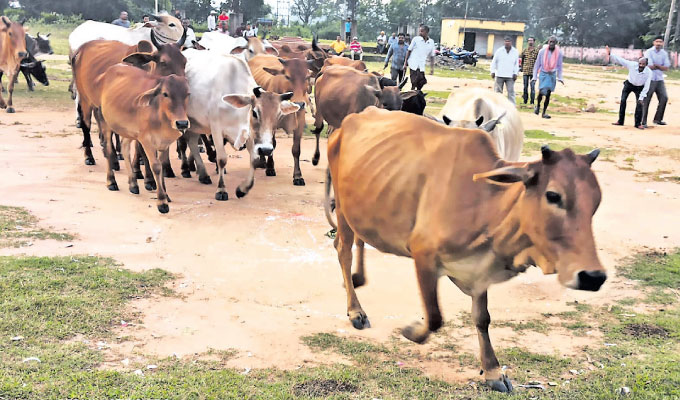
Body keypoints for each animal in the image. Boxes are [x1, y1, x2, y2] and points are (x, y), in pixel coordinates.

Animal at [96, 64, 190, 213]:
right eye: (165, 94)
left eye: (187, 94)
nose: (182, 123)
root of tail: (107, 72)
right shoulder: (146, 141)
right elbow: (156, 167)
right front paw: (162, 202)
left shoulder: (165, 143)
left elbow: (162, 166)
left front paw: (166, 195)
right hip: (105, 122)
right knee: (109, 150)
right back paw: (111, 182)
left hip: (129, 130)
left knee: (124, 148)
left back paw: (133, 184)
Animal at [180, 49, 301, 200]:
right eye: (254, 112)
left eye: (278, 116)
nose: (266, 150)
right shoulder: (216, 129)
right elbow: (221, 159)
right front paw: (221, 190)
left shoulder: (250, 134)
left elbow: (254, 159)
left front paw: (243, 189)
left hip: (196, 123)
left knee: (192, 141)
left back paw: (203, 175)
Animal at [248, 54, 314, 185]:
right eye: (287, 77)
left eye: (306, 77)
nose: (300, 103)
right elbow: (272, 144)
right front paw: (270, 168)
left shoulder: (300, 119)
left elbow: (296, 149)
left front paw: (298, 176)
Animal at [327, 106, 606, 392]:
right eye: (553, 195)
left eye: (597, 201)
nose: (593, 277)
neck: (485, 204)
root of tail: (352, 118)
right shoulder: (423, 255)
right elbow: (435, 317)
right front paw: (412, 331)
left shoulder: (481, 269)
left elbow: (482, 318)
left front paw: (493, 372)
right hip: (342, 207)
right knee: (343, 250)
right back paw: (356, 310)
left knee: (360, 240)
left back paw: (357, 279)